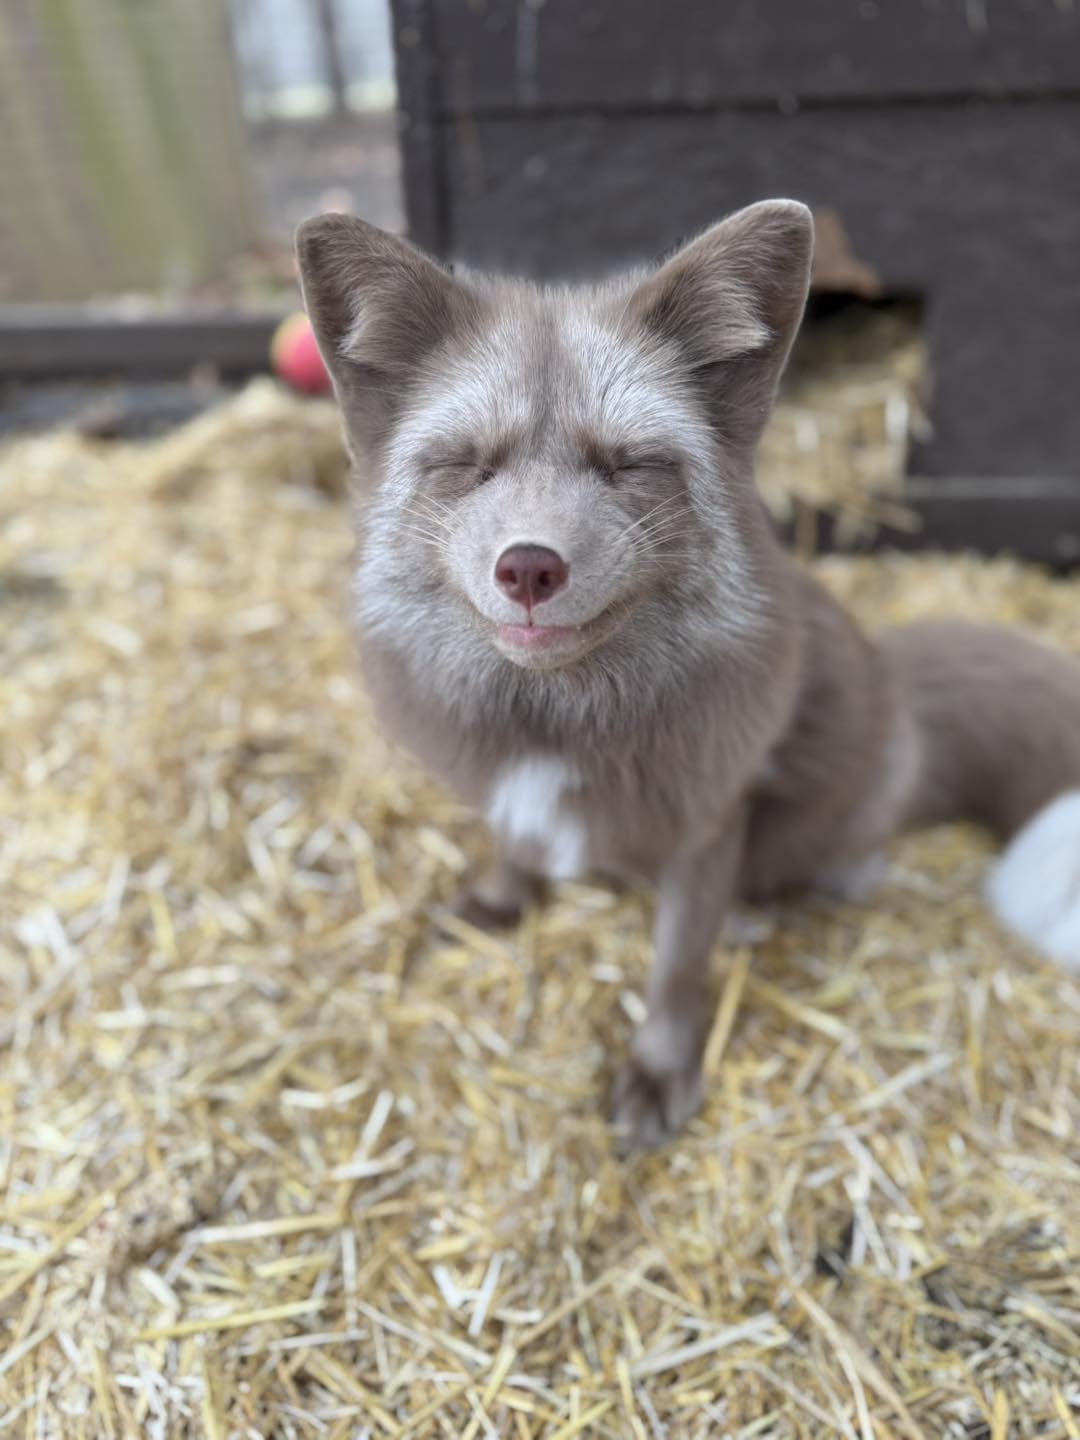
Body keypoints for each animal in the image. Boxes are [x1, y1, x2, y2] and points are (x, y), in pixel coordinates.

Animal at [296, 200, 1080, 1149]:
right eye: (470, 465)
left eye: (628, 465)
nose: (529, 568)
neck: (557, 728)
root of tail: (900, 686)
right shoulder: (513, 793)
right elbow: (516, 848)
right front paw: (496, 906)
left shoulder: (709, 821)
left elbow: (674, 965)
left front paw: (659, 1072)